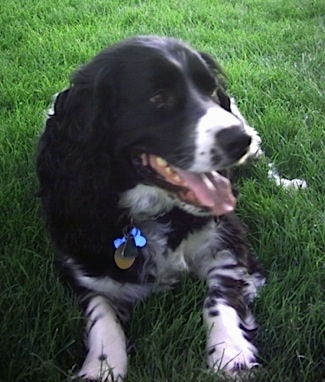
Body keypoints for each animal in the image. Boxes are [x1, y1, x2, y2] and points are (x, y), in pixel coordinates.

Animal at [36, 35, 268, 380]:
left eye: (211, 90)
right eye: (158, 98)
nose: (240, 140)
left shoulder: (227, 241)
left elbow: (221, 298)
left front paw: (230, 351)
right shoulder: (79, 267)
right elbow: (102, 316)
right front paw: (102, 367)